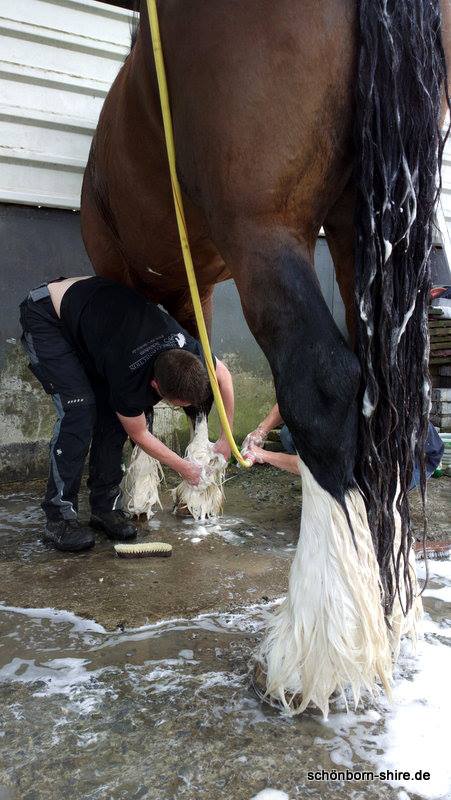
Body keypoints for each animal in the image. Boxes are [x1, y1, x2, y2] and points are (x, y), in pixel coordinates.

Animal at [80, 0, 450, 715]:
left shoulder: (127, 271)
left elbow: (144, 402)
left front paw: (146, 490)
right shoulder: (191, 281)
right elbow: (196, 379)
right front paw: (196, 486)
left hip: (265, 228)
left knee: (326, 385)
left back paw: (324, 654)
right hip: (360, 224)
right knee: (392, 403)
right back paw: (393, 614)